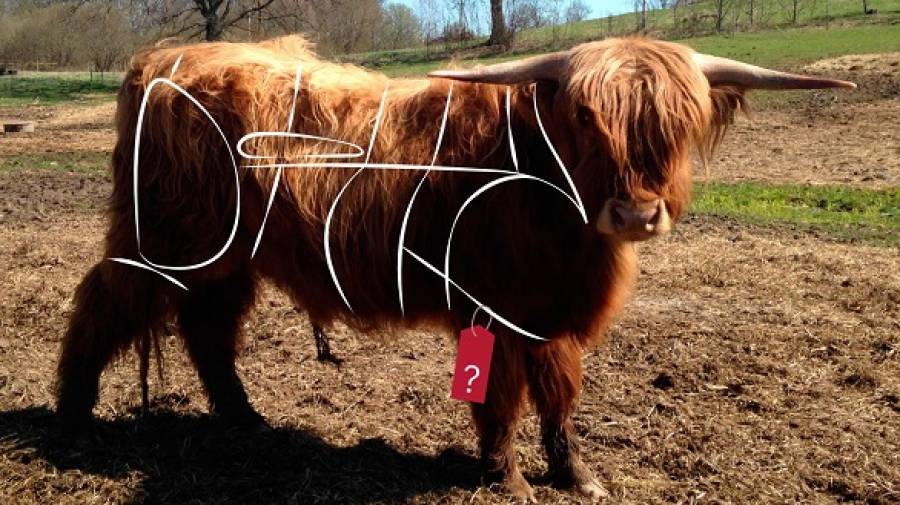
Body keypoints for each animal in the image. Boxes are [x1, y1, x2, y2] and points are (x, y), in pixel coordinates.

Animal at [55, 35, 853, 501]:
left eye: (680, 121)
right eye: (586, 117)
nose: (635, 215)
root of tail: (163, 58)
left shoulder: (552, 314)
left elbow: (559, 394)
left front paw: (576, 473)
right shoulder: (491, 307)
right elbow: (500, 397)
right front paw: (507, 477)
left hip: (226, 257)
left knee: (208, 329)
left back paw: (245, 419)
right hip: (163, 241)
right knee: (103, 304)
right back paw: (72, 417)